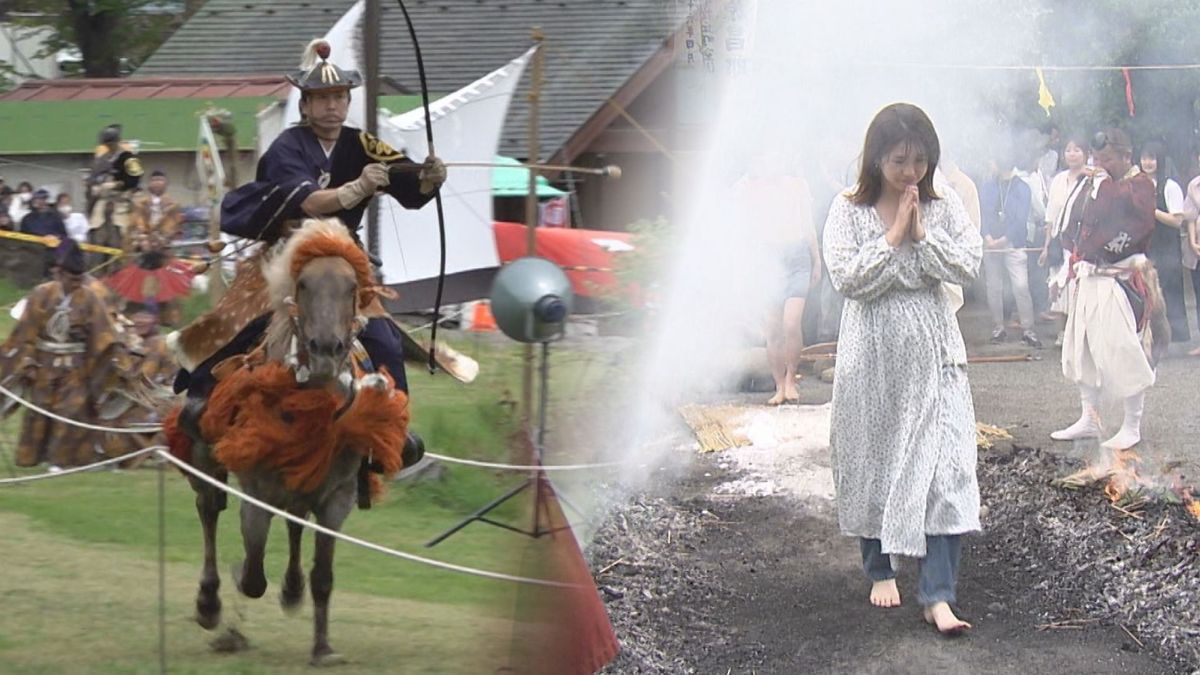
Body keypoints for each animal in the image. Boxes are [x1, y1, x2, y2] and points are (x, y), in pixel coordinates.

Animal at [164, 219, 410, 662]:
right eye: (304, 285)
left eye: (352, 287)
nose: (326, 349)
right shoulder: (256, 492)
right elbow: (252, 574)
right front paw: (235, 602)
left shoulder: (338, 498)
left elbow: (323, 575)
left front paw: (323, 648)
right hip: (206, 455)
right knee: (209, 510)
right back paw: (209, 603)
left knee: (294, 523)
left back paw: (292, 590)